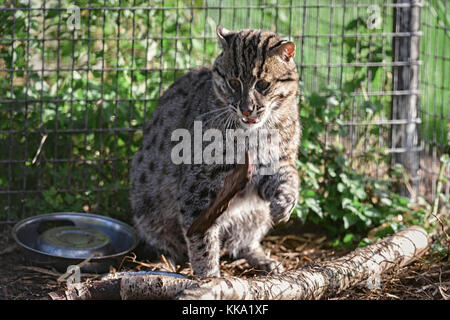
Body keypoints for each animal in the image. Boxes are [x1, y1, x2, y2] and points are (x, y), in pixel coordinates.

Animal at [128, 26, 300, 278]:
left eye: (262, 84)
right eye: (233, 82)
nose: (246, 109)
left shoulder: (274, 163)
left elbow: (289, 177)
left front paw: (284, 203)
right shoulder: (199, 184)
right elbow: (201, 235)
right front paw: (208, 275)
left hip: (256, 216)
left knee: (242, 242)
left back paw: (263, 259)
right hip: (148, 206)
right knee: (166, 244)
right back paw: (164, 264)